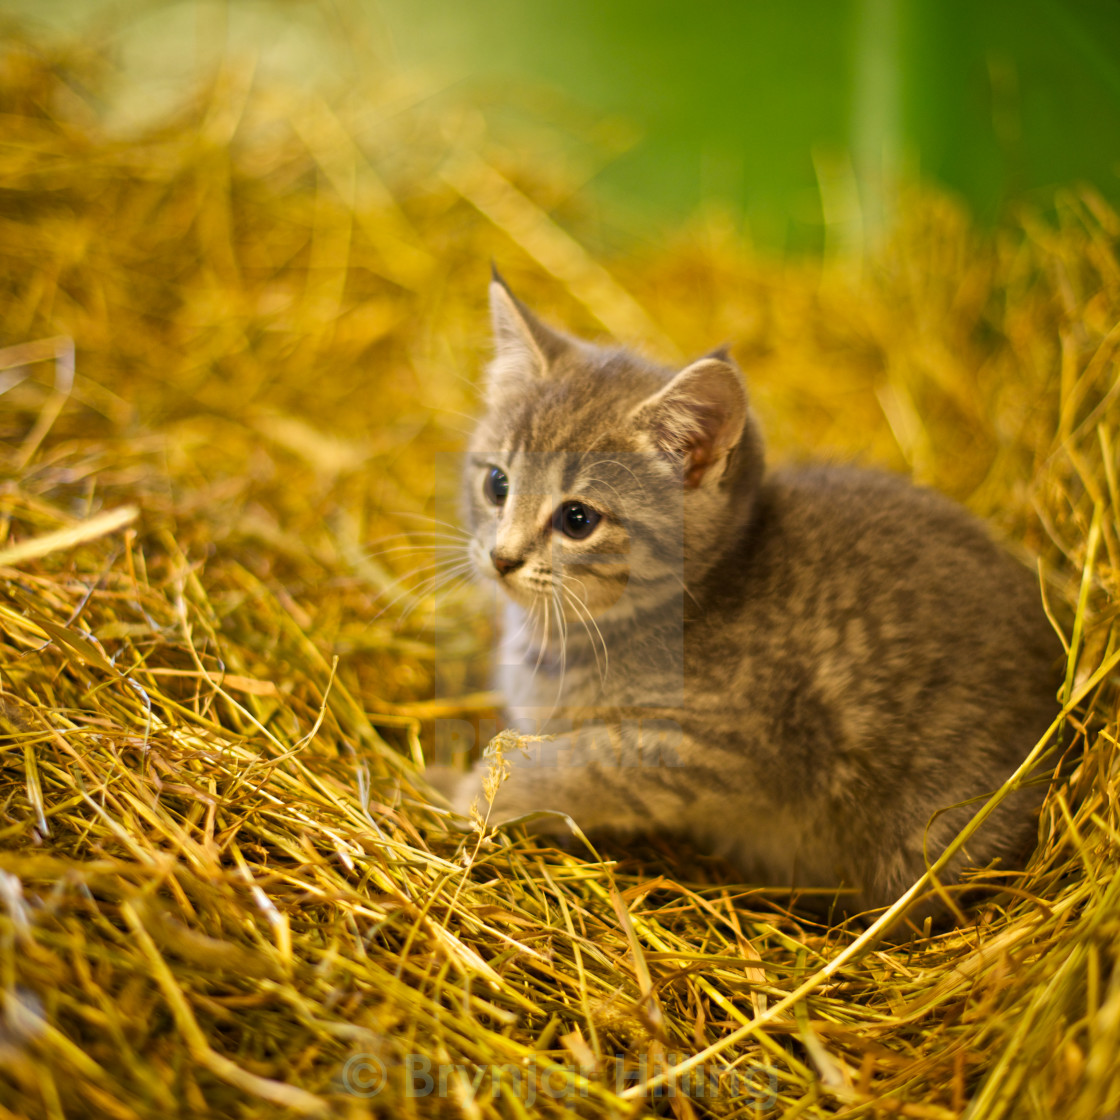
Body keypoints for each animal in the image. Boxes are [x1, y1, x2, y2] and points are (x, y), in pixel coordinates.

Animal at [445, 273, 1057, 918]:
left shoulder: (729, 750)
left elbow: (571, 764)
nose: (502, 558)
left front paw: (464, 790)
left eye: (578, 519)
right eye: (497, 484)